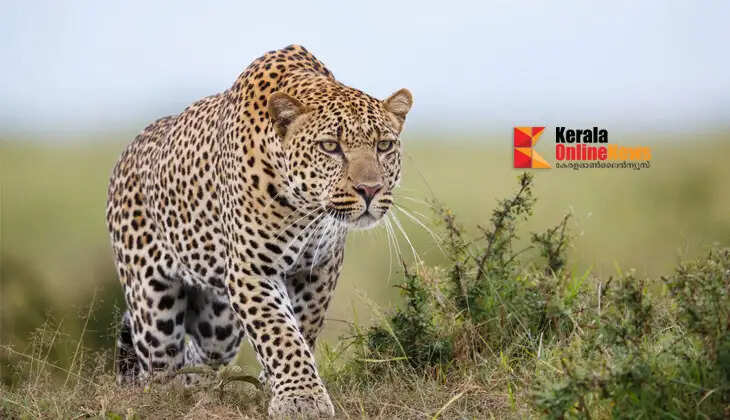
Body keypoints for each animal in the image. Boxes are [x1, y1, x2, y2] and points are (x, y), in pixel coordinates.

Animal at [106, 44, 412, 418]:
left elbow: (302, 327)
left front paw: (275, 386)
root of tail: (128, 150)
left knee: (199, 357)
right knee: (160, 369)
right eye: (330, 147)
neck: (306, 208)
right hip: (153, 310)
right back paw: (170, 399)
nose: (370, 189)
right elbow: (279, 332)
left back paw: (203, 392)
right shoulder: (252, 270)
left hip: (218, 323)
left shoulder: (319, 269)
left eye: (384, 146)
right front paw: (301, 399)